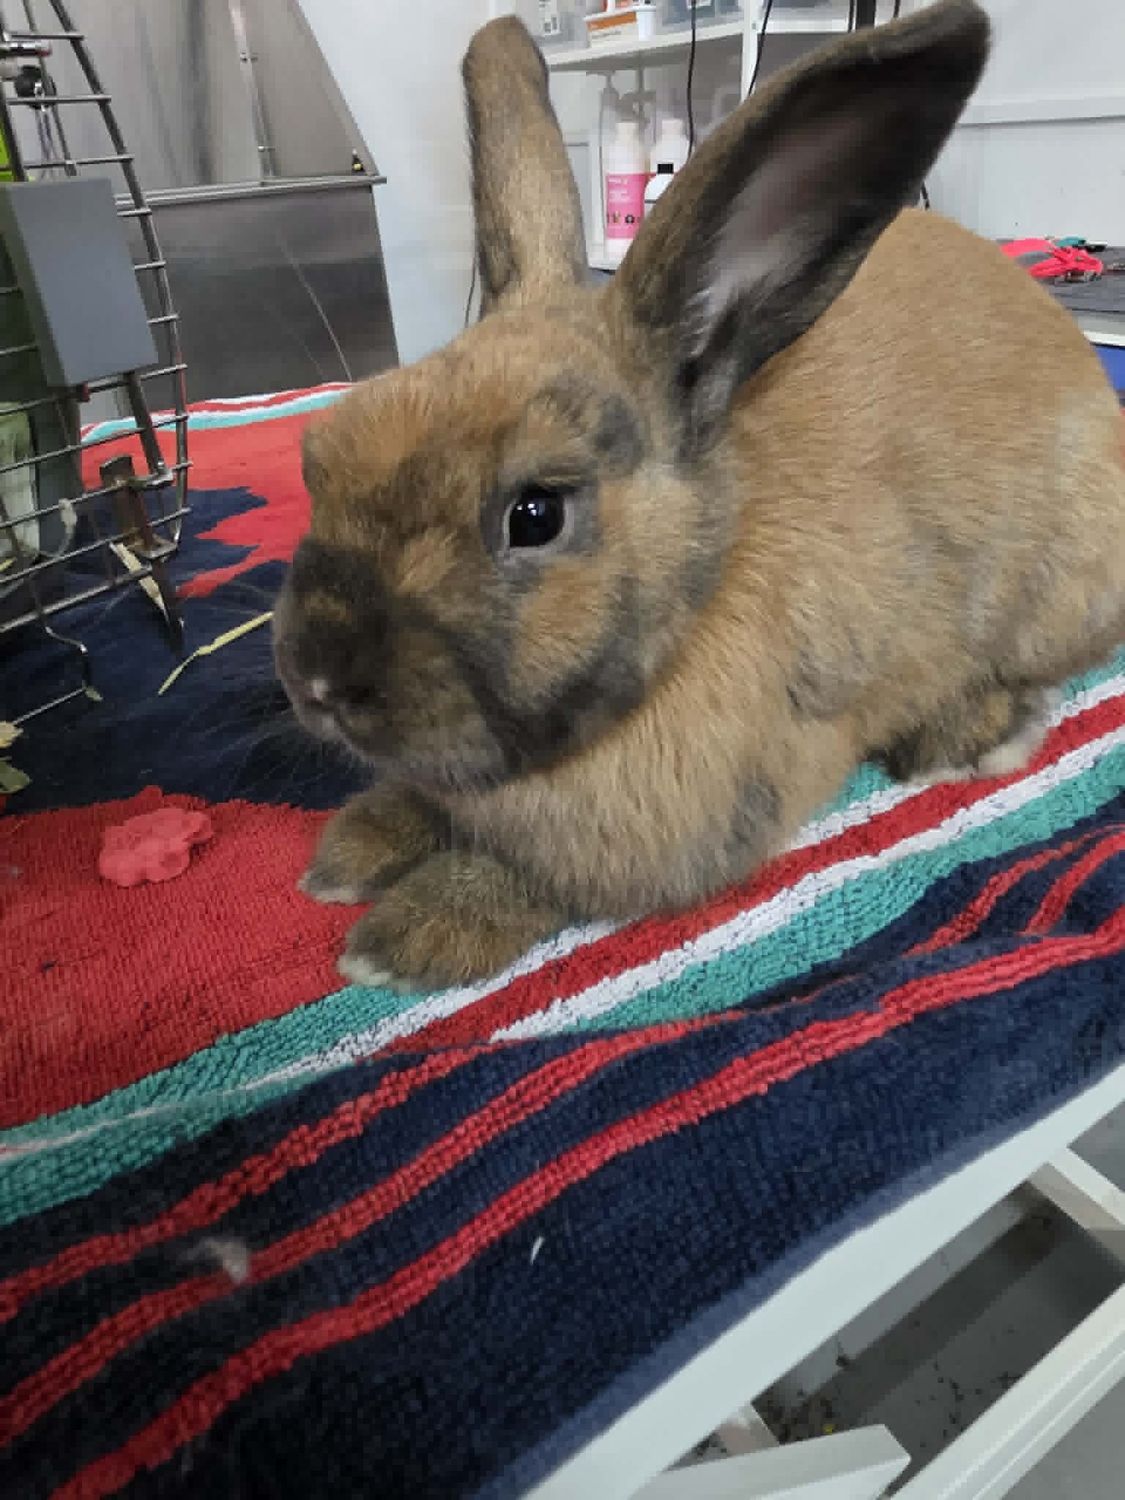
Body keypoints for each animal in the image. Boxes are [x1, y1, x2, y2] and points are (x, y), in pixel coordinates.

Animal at [273, 0, 1125, 990]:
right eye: (318, 456)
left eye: (535, 514)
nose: (317, 681)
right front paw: (355, 849)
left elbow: (543, 882)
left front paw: (407, 937)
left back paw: (972, 733)